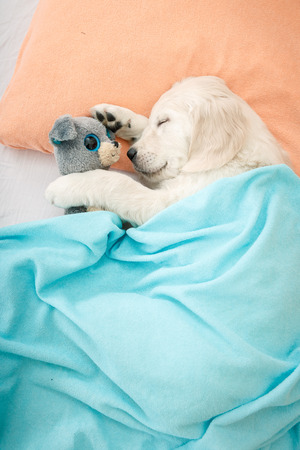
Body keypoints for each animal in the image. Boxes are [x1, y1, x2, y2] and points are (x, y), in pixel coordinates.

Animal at [45, 76, 292, 229]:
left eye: (164, 121)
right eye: (158, 119)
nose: (130, 154)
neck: (232, 159)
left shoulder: (169, 206)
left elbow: (118, 183)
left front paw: (67, 186)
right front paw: (118, 117)